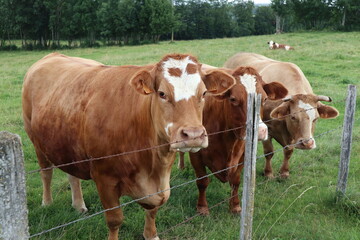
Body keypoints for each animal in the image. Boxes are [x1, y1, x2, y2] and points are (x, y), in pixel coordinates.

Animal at [23, 52, 236, 240]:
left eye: (204, 93)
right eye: (162, 93)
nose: (193, 135)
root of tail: (52, 56)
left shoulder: (160, 184)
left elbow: (153, 209)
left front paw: (151, 235)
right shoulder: (104, 178)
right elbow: (114, 220)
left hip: (67, 145)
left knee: (72, 174)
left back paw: (78, 205)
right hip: (35, 139)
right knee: (46, 172)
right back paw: (47, 202)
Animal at [181, 64, 288, 214]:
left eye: (265, 99)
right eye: (233, 99)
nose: (259, 131)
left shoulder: (243, 155)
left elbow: (236, 181)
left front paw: (235, 206)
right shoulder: (196, 155)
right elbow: (202, 182)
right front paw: (202, 207)